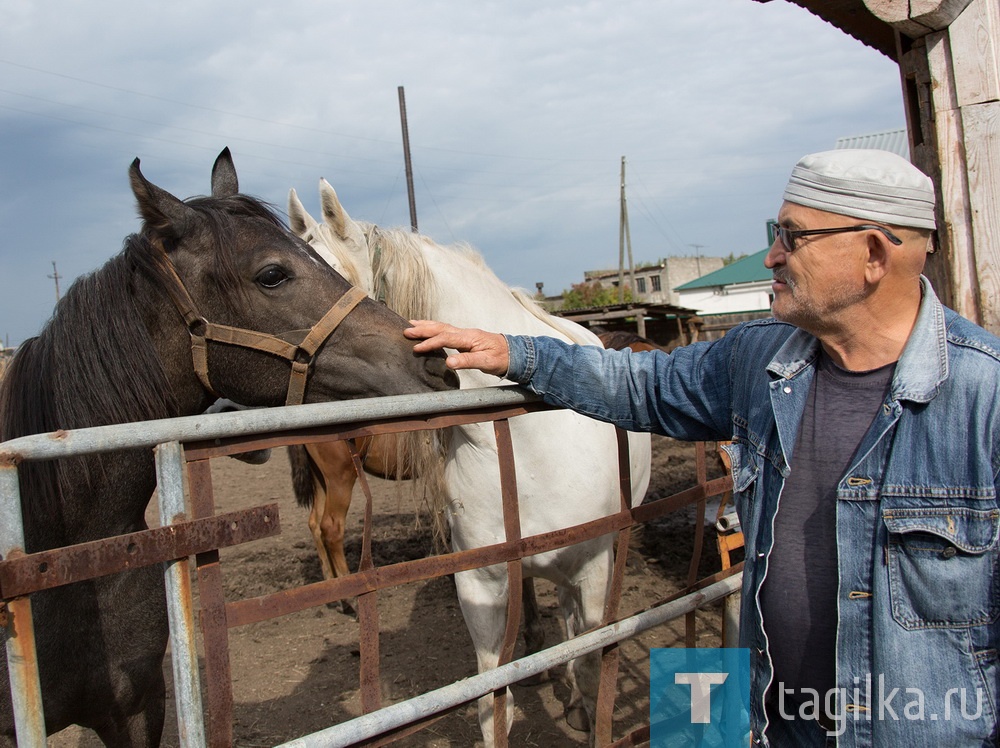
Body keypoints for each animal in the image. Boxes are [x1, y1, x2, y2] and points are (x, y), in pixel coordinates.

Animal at [286, 180, 652, 744]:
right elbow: (491, 696)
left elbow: (591, 666)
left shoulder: (593, 569)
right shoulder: (481, 585)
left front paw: (582, 705)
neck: (531, 440)